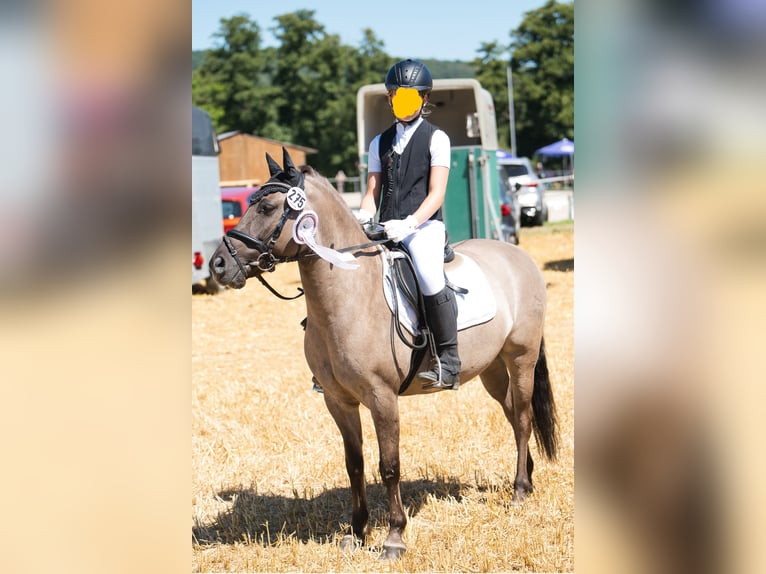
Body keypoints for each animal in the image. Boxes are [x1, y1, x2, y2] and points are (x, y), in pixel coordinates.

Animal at [210, 150, 560, 564]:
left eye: (266, 207)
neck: (349, 293)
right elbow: (355, 465)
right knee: (511, 413)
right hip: (491, 368)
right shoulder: (338, 401)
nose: (218, 265)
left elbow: (389, 466)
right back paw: (528, 478)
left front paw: (394, 537)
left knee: (521, 417)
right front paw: (356, 532)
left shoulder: (382, 398)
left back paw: (520, 490)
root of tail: (517, 254)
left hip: (521, 357)